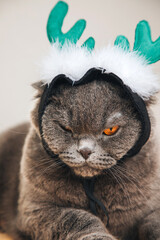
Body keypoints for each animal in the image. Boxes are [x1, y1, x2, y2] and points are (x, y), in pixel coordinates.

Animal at [0, 68, 160, 239]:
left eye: (111, 130)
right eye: (66, 128)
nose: (85, 150)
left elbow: (153, 220)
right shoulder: (34, 209)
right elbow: (77, 217)